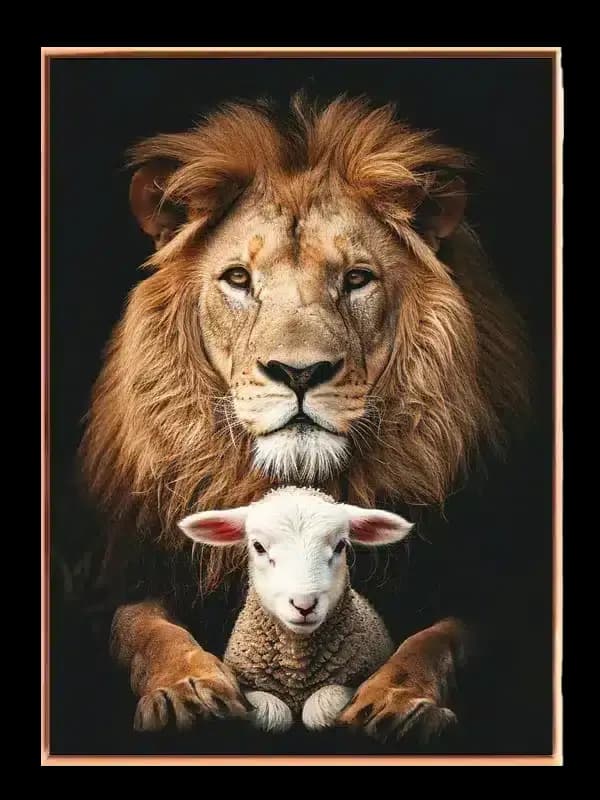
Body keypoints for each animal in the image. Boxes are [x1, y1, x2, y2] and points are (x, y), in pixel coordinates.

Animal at [80, 95, 528, 743]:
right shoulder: (133, 577)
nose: (298, 372)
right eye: (239, 279)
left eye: (357, 279)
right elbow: (145, 629)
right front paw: (187, 689)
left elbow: (436, 639)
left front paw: (398, 701)